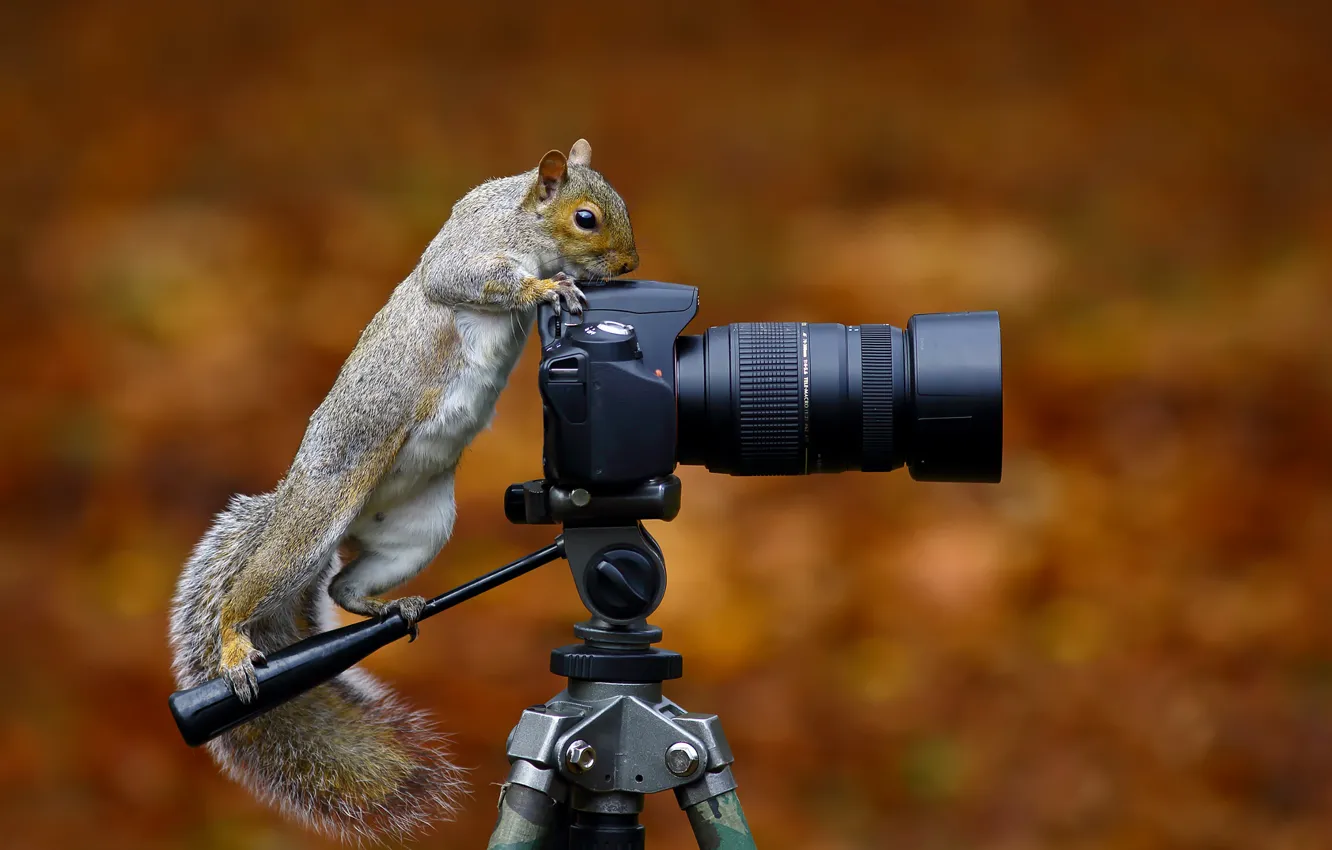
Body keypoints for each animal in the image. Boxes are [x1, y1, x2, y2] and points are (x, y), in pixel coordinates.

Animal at [168, 139, 639, 844]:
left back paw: (395, 608)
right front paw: (548, 287)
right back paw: (233, 648)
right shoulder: (469, 250)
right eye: (586, 219)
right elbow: (463, 280)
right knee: (252, 587)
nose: (630, 264)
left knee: (342, 586)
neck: (519, 214)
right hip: (316, 522)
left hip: (419, 530)